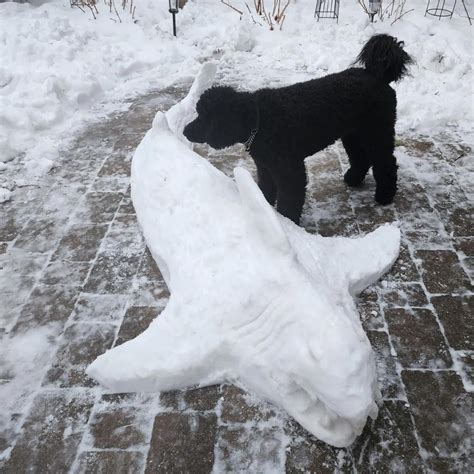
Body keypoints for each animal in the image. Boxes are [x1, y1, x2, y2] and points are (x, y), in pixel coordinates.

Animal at [183, 35, 412, 224]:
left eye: (204, 117)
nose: (186, 131)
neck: (259, 120)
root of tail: (377, 75)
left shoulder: (290, 170)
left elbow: (289, 200)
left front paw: (287, 222)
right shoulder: (265, 167)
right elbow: (266, 189)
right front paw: (264, 209)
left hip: (377, 132)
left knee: (386, 163)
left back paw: (385, 195)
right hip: (353, 134)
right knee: (361, 158)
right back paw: (353, 179)